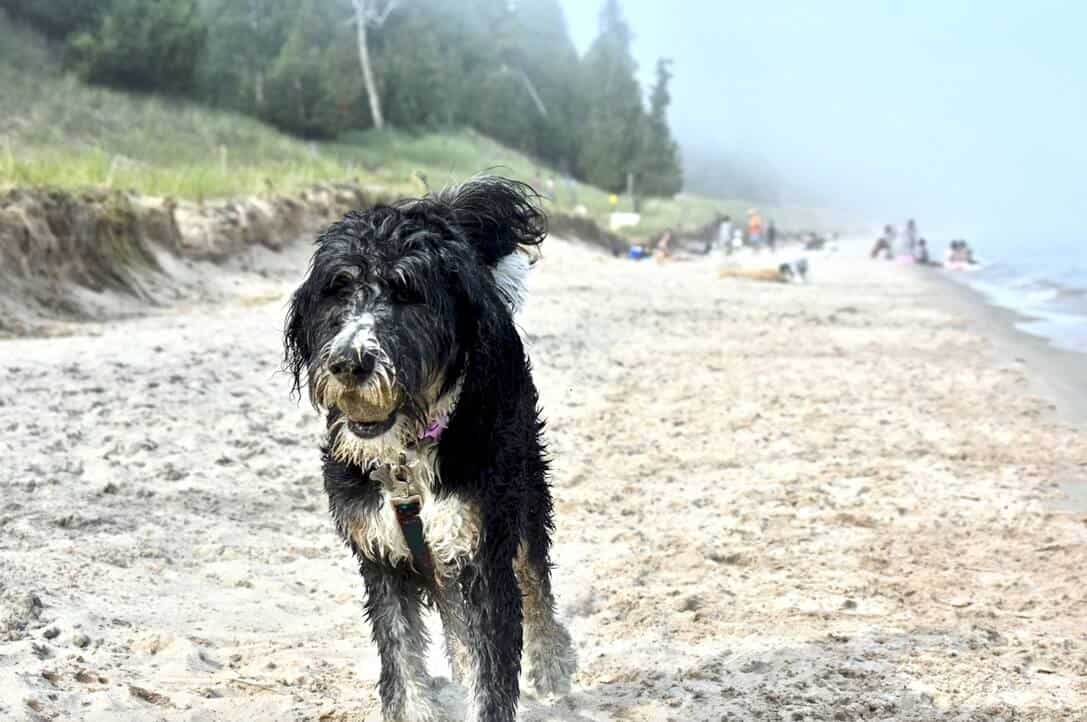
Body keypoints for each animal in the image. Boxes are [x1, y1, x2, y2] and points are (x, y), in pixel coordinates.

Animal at [286, 176, 578, 722]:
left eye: (409, 294)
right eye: (338, 288)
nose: (350, 362)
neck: (406, 456)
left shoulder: (483, 550)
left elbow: (492, 670)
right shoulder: (380, 554)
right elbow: (402, 660)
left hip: (525, 490)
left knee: (534, 576)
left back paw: (552, 659)